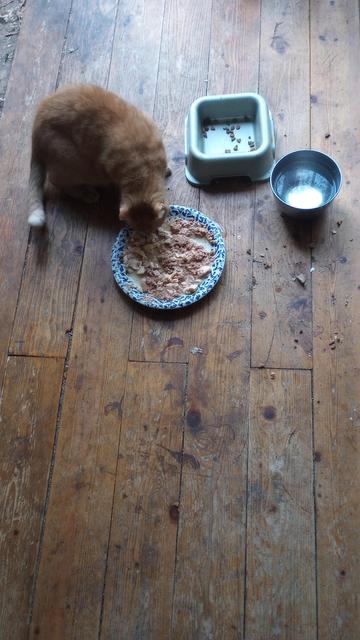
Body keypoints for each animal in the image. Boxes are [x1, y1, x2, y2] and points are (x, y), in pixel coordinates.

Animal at [26, 84, 170, 231]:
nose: (146, 236)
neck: (142, 164)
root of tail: (36, 128)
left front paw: (167, 170)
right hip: (75, 164)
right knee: (56, 181)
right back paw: (86, 194)